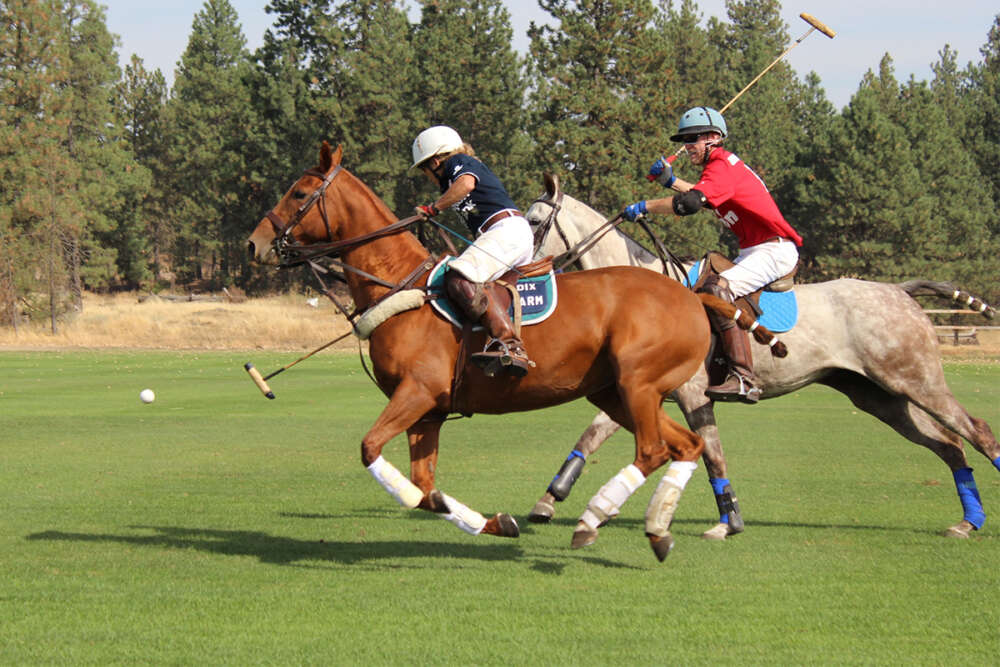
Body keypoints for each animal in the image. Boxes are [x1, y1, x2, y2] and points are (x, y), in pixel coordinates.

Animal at [246, 142, 784, 564]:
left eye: (299, 194)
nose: (254, 245)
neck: (398, 282)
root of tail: (693, 295)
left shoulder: (417, 393)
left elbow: (371, 451)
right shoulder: (429, 411)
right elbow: (424, 490)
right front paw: (496, 522)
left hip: (640, 383)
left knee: (655, 449)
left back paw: (593, 520)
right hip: (617, 393)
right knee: (687, 445)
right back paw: (653, 528)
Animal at [528, 174, 996, 544]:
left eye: (532, 221)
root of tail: (900, 290)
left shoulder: (694, 393)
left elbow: (712, 453)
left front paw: (728, 522)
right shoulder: (644, 388)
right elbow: (591, 436)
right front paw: (548, 501)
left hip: (915, 379)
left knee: (977, 431)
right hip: (879, 396)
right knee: (949, 443)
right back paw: (967, 521)